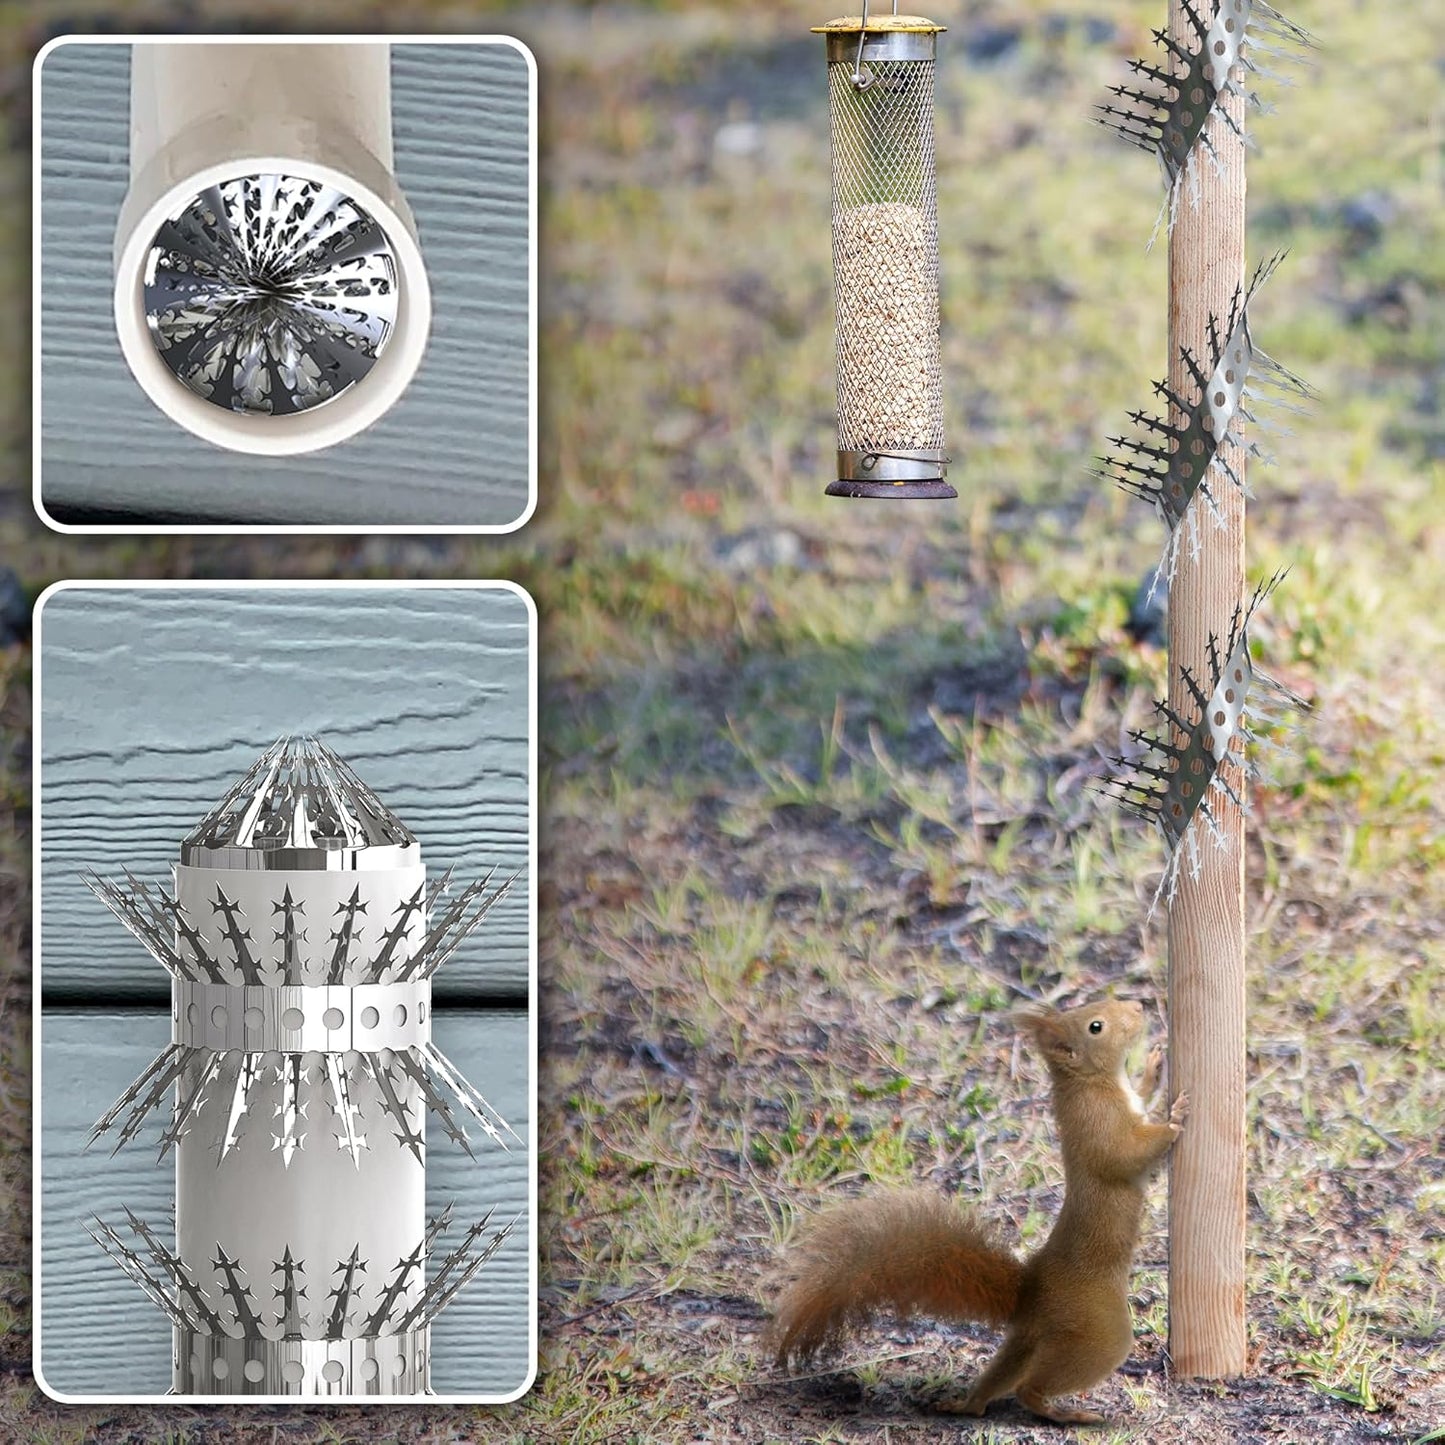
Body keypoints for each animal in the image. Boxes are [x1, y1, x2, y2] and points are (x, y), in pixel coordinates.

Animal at [769, 998, 1189, 1425]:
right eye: (1096, 1026)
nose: (1137, 1007)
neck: (1093, 1082)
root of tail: (1030, 1292)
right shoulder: (1097, 1126)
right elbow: (1124, 1156)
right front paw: (1174, 1119)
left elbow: (1142, 1098)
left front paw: (1154, 1068)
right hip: (1099, 1332)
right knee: (1030, 1388)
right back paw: (1068, 1414)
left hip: (1028, 1338)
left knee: (1001, 1375)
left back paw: (967, 1404)